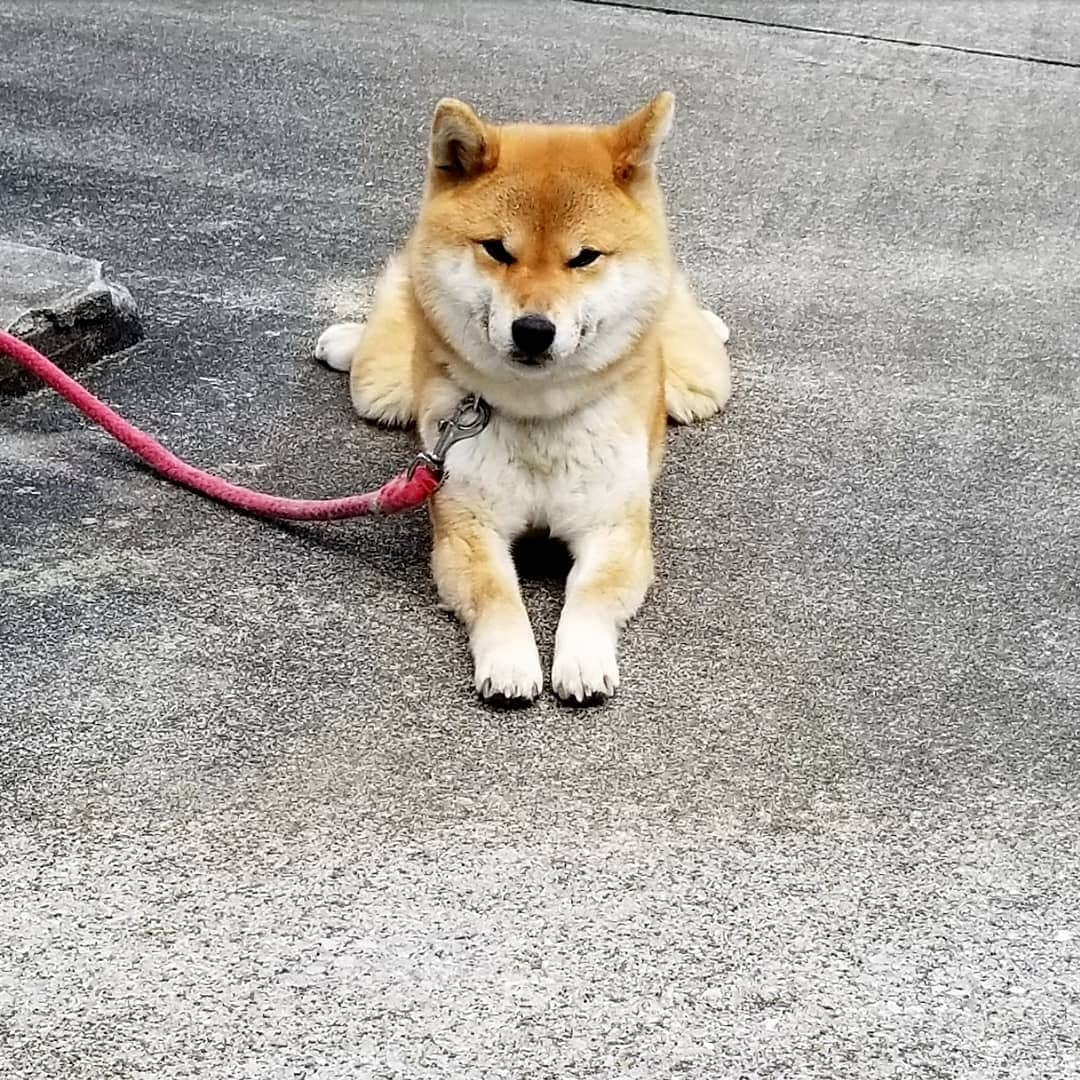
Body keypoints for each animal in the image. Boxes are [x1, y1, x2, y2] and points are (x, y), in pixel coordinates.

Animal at [315, 95, 730, 708]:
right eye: (497, 250)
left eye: (584, 257)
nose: (533, 330)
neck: (539, 417)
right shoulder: (466, 525)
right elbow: (496, 593)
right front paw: (511, 661)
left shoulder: (616, 529)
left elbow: (591, 595)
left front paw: (582, 660)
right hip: (380, 387)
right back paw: (346, 340)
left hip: (700, 386)